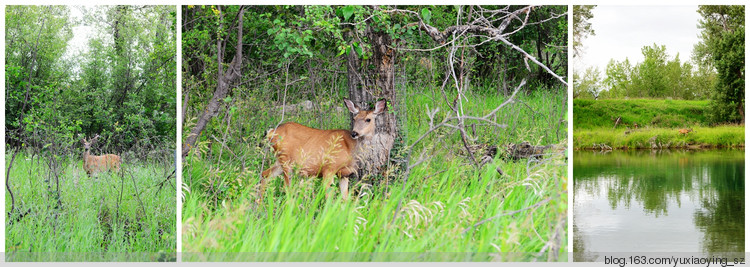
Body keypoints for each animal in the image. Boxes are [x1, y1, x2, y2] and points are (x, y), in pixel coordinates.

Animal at [258, 99, 388, 203]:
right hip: (285, 161)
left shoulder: (344, 174)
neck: (351, 149)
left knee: (265, 174)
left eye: (368, 119)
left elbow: (345, 199)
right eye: (354, 118)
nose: (354, 133)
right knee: (287, 188)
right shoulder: (329, 168)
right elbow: (328, 198)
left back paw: (259, 205)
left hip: (280, 161)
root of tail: (271, 133)